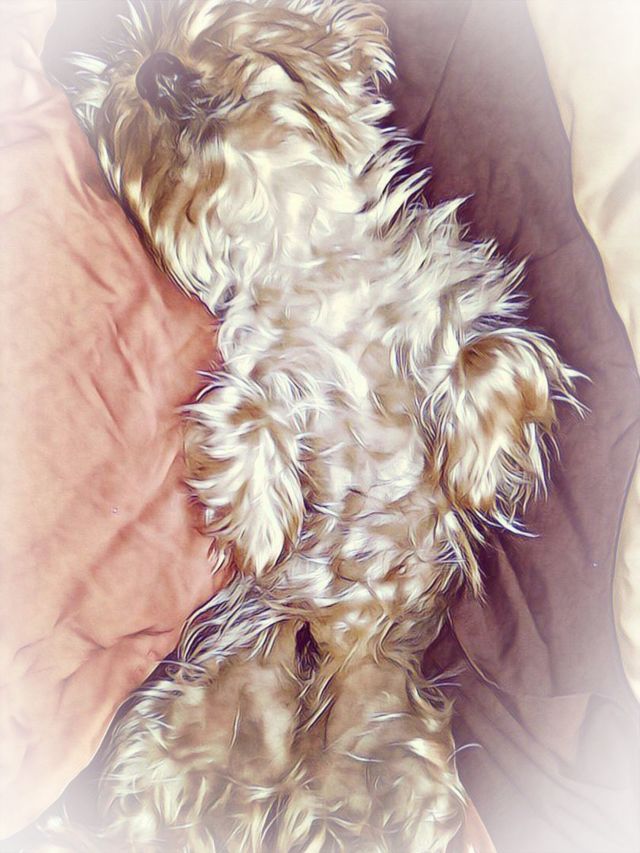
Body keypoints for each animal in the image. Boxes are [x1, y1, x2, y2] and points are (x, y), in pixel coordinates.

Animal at [58, 0, 581, 849]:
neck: (303, 244)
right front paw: (262, 522)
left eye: (213, 29)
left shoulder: (463, 306)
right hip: (165, 734)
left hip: (407, 764)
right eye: (129, 102)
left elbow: (495, 354)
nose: (157, 74)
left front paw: (472, 467)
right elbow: (244, 406)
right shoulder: (255, 360)